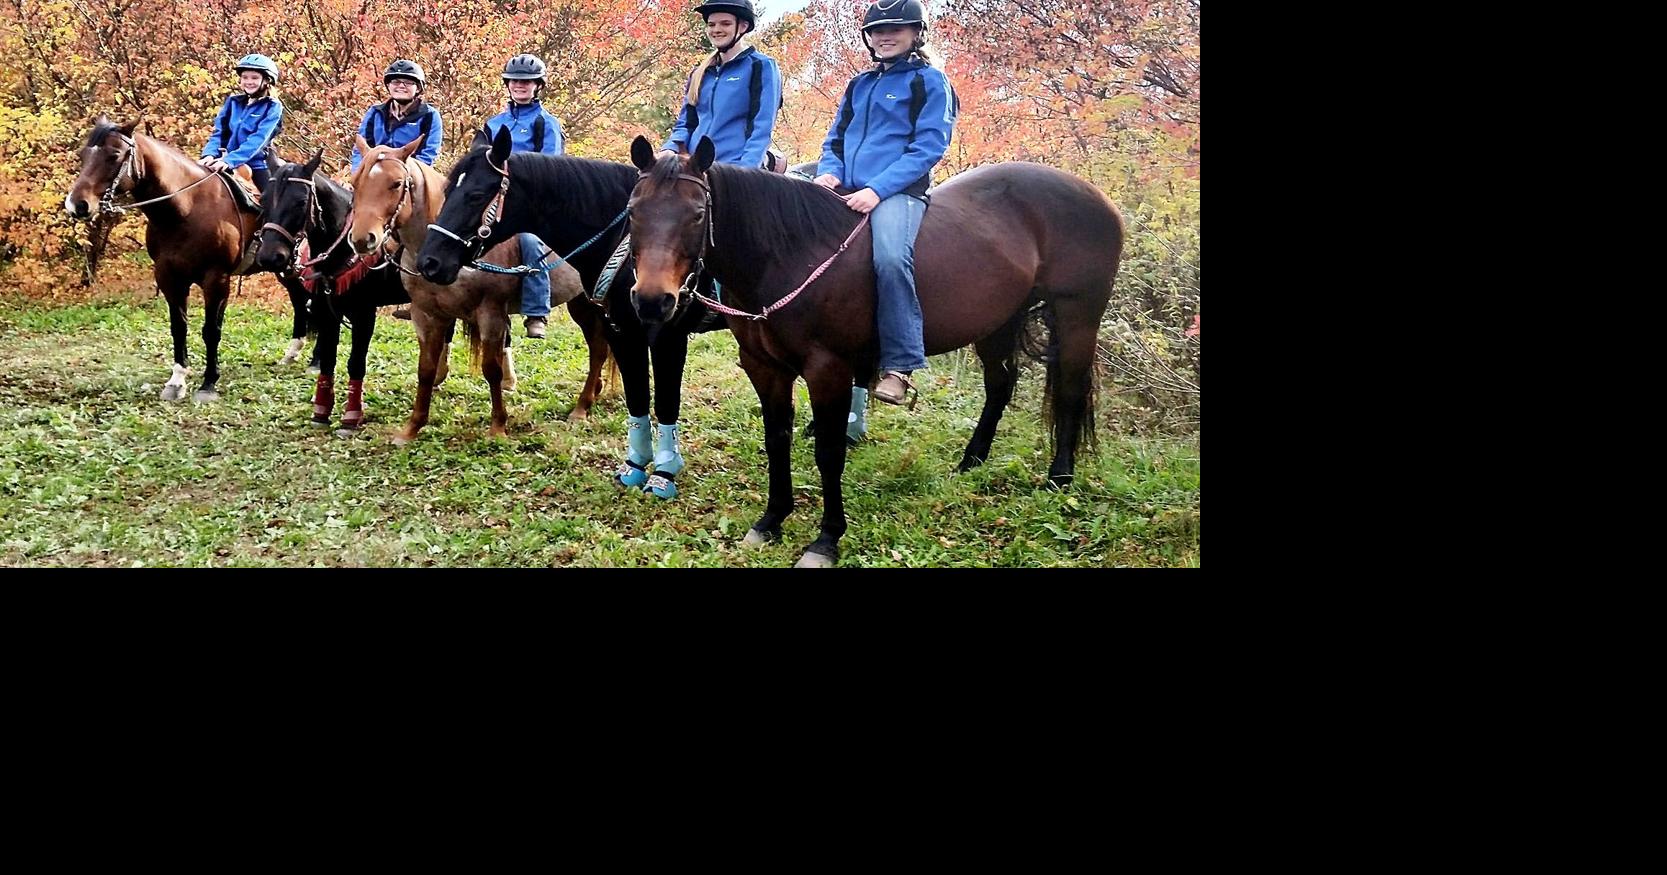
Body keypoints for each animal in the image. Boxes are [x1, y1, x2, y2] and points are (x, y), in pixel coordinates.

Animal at [64, 117, 315, 400]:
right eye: (83, 155)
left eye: (114, 155)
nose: (76, 205)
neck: (186, 208)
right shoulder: (169, 278)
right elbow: (179, 328)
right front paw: (176, 381)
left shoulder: (216, 279)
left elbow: (211, 331)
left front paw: (209, 383)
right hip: (283, 268)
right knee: (299, 299)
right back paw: (292, 353)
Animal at [253, 149, 425, 433]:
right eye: (264, 198)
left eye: (301, 201)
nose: (270, 256)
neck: (343, 249)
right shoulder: (326, 310)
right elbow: (328, 359)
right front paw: (321, 411)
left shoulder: (364, 314)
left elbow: (356, 362)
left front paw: (351, 417)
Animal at [346, 134, 604, 444]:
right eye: (355, 182)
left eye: (396, 183)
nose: (363, 239)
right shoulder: (427, 316)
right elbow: (426, 370)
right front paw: (411, 429)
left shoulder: (490, 313)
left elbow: (492, 370)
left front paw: (498, 427)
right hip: (582, 302)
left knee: (598, 349)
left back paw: (581, 408)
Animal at [414, 125, 734, 498]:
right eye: (448, 190)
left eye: (477, 195)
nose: (430, 262)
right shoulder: (622, 328)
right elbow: (636, 393)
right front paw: (634, 465)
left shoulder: (668, 336)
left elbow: (665, 399)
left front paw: (663, 474)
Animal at [623, 136, 1125, 567]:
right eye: (632, 211)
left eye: (696, 214)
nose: (651, 301)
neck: (792, 254)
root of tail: (1098, 198)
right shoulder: (765, 368)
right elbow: (776, 440)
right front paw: (771, 521)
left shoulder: (828, 370)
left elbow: (829, 451)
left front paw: (826, 538)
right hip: (998, 323)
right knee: (1000, 386)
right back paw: (970, 463)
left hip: (1077, 316)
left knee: (1070, 393)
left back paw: (1060, 479)